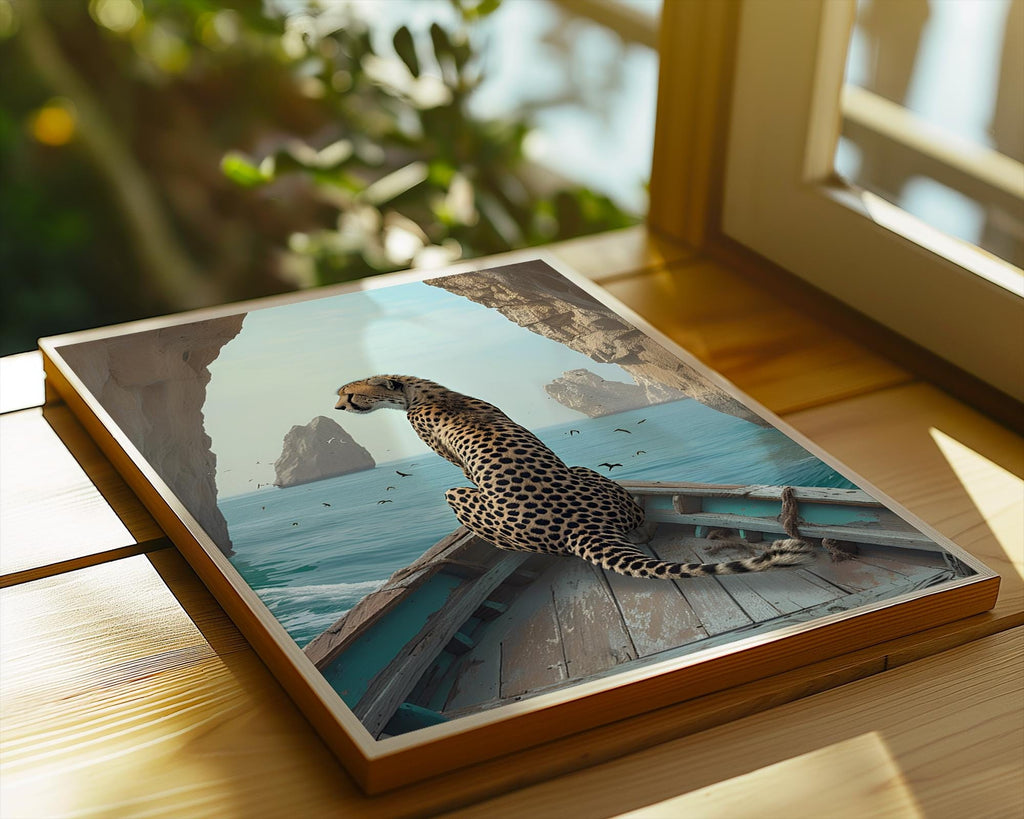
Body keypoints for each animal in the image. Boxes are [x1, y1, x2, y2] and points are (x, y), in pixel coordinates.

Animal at [335, 375, 815, 580]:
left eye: (351, 395)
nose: (338, 406)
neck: (422, 390)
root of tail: (582, 526)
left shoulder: (454, 463)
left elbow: (460, 469)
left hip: (463, 496)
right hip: (585, 472)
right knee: (641, 523)